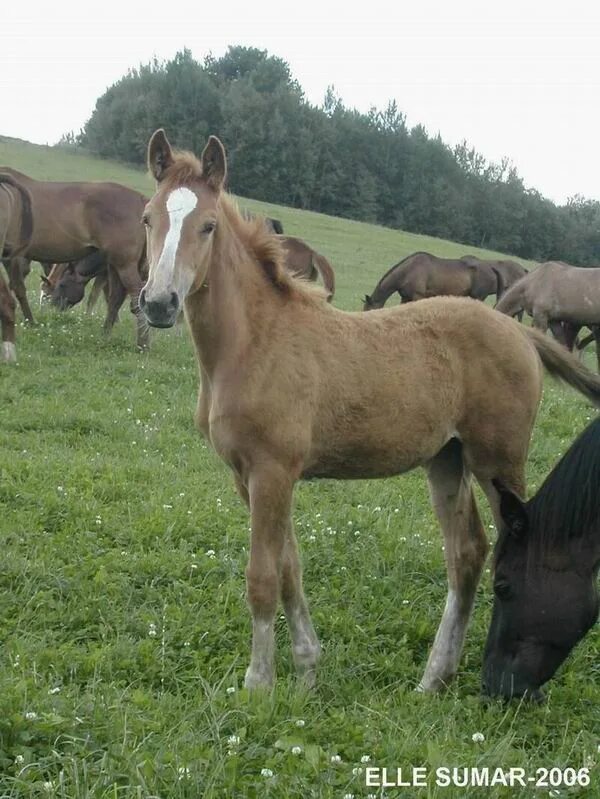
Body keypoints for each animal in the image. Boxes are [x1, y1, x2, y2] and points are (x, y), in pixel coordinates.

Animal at [0, 167, 149, 348]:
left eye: (63, 285)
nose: (54, 309)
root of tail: (141, 200)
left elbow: (18, 287)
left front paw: (30, 321)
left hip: (124, 264)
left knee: (136, 296)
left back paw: (142, 344)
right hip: (115, 265)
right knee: (115, 298)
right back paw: (105, 335)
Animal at [364, 252, 500, 310]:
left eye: (369, 309)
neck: (408, 271)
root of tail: (491, 269)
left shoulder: (417, 296)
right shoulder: (405, 297)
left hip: (478, 297)